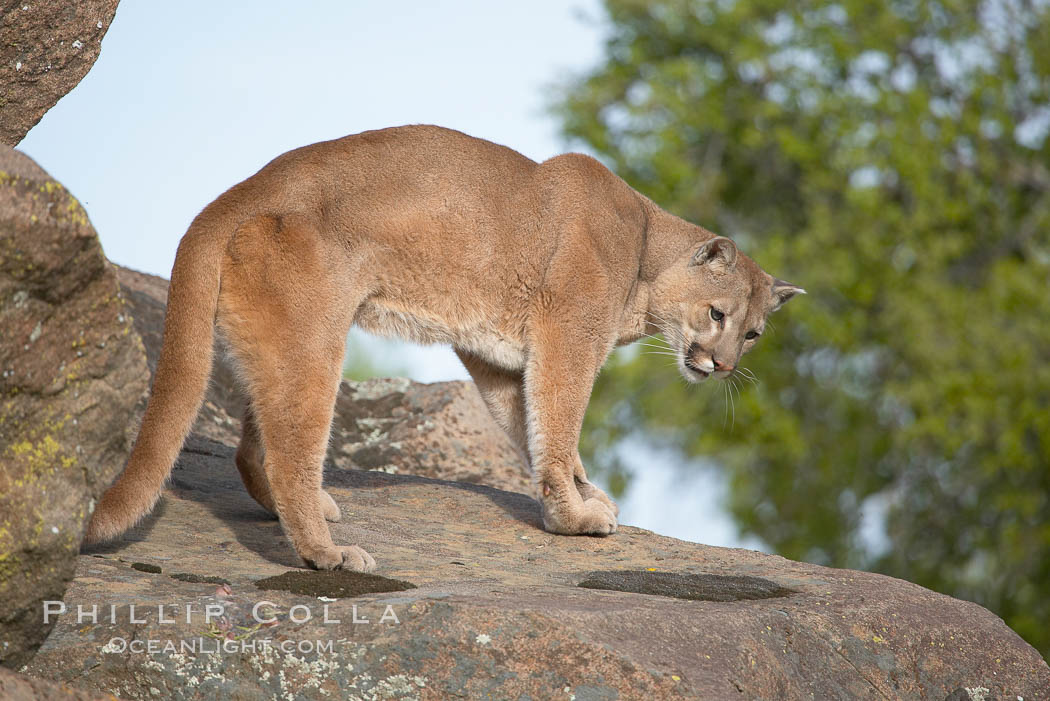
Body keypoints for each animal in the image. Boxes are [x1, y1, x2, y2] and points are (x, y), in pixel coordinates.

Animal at [84, 125, 802, 570]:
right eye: (716, 314)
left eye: (754, 333)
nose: (724, 364)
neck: (647, 253)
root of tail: (235, 194)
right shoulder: (567, 334)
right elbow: (560, 419)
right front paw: (574, 517)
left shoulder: (503, 358)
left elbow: (536, 427)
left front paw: (579, 495)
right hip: (314, 342)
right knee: (289, 453)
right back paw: (326, 554)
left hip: (283, 342)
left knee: (250, 445)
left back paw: (313, 514)